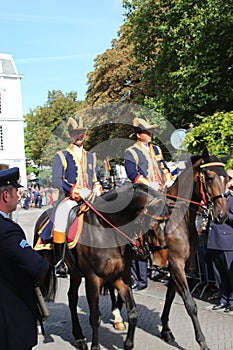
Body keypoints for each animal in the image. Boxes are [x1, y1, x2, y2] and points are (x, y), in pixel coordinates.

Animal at [33, 182, 169, 348]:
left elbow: (133, 312)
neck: (106, 230)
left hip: (75, 273)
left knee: (72, 298)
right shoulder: (93, 279)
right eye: (153, 226)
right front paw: (95, 346)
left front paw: (128, 343)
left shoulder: (121, 277)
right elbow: (95, 316)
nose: (162, 264)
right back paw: (40, 327)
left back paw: (79, 337)